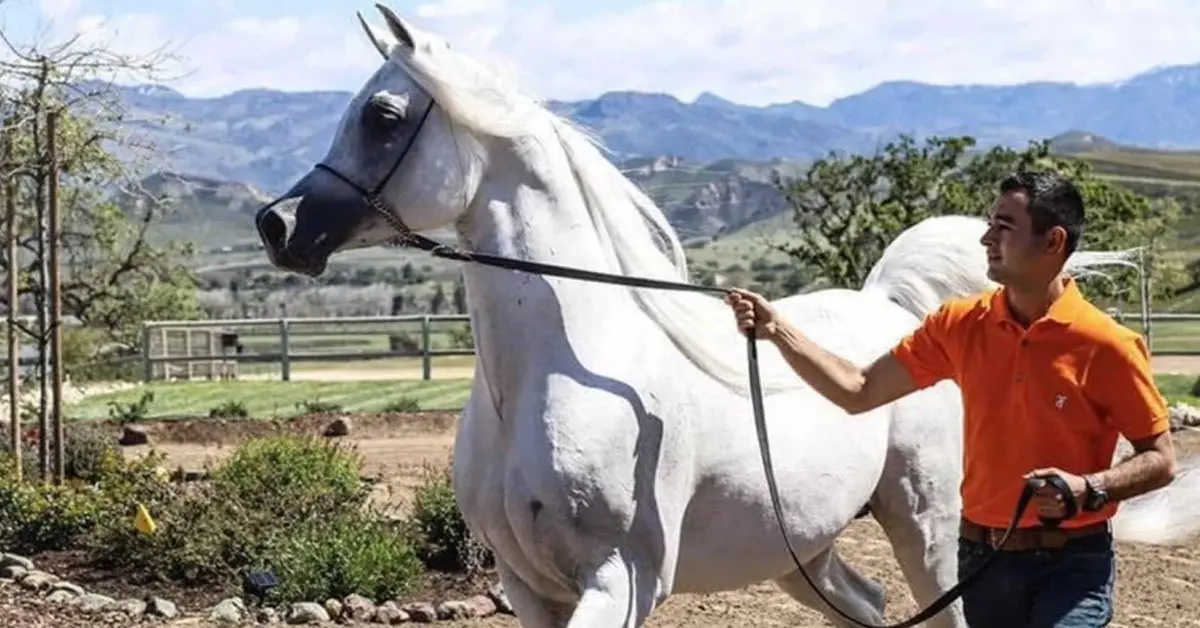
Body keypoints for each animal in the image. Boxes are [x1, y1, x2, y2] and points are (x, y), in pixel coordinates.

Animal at [253, 3, 1200, 624]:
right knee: (867, 605)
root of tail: (891, 313)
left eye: (382, 116)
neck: (551, 376)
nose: (278, 225)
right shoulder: (530, 590)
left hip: (927, 527)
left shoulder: (620, 580)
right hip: (801, 551)